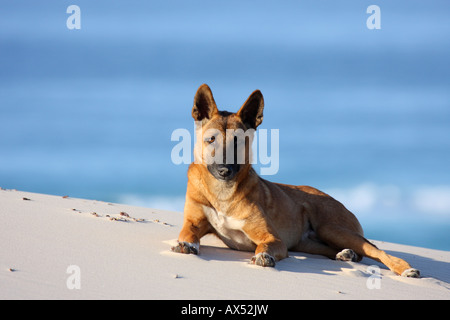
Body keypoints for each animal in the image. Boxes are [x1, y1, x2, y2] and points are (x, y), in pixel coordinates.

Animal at [172, 84, 422, 278]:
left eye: (238, 142)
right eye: (211, 139)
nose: (225, 170)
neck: (222, 193)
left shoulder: (273, 238)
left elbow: (265, 245)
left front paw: (264, 255)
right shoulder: (193, 222)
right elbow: (188, 233)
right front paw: (186, 244)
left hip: (332, 227)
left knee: (376, 251)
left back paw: (405, 268)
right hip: (312, 242)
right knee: (345, 252)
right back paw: (346, 255)